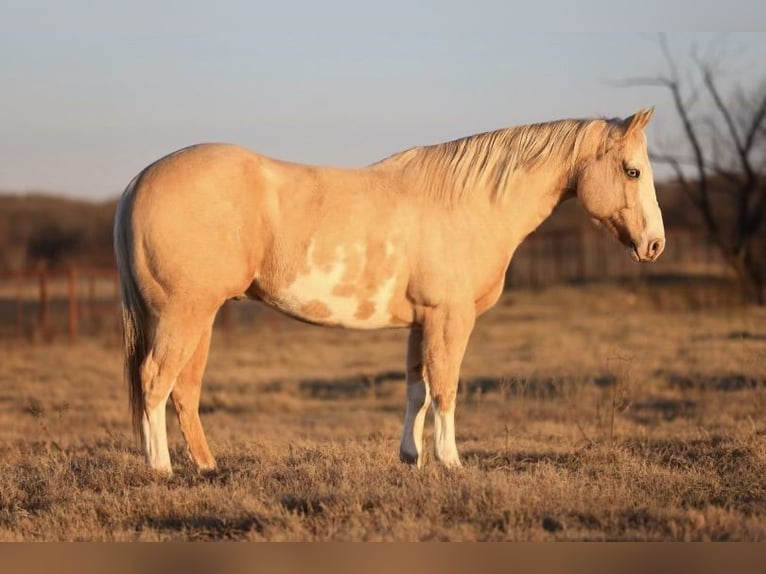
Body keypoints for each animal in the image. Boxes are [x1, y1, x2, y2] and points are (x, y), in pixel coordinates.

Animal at [114, 108, 664, 476]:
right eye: (632, 170)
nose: (654, 245)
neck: (469, 204)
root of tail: (138, 181)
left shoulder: (421, 322)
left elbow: (416, 389)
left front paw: (411, 458)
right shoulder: (449, 318)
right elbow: (445, 388)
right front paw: (451, 462)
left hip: (198, 317)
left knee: (183, 389)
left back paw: (206, 467)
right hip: (184, 313)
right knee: (156, 380)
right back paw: (160, 469)